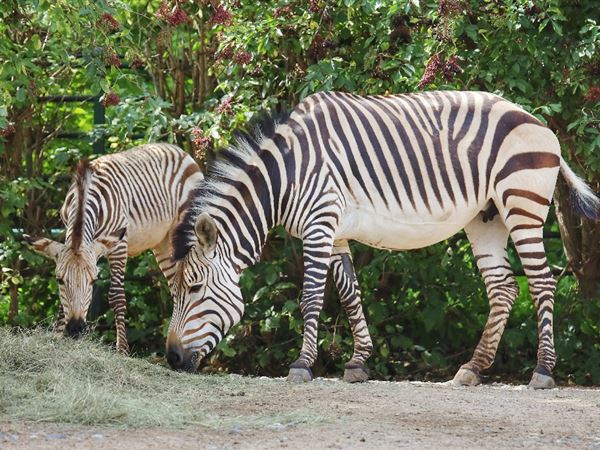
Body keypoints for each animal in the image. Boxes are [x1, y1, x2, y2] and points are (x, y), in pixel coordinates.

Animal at [24, 144, 203, 356]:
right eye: (59, 280)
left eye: (93, 281)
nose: (75, 329)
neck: (85, 195)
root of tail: (177, 149)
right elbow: (62, 301)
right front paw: (57, 335)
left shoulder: (118, 245)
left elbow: (116, 296)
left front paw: (122, 350)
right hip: (163, 243)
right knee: (177, 287)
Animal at [165, 90, 600, 386]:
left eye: (196, 288)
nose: (171, 358)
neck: (284, 175)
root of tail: (537, 120)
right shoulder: (335, 232)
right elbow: (349, 294)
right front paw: (358, 362)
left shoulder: (319, 224)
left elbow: (311, 298)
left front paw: (302, 365)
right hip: (486, 217)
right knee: (505, 288)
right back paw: (472, 369)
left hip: (521, 204)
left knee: (541, 283)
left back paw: (542, 370)